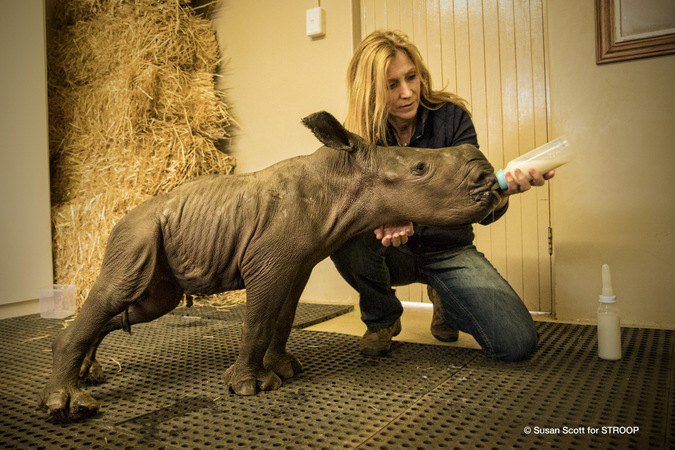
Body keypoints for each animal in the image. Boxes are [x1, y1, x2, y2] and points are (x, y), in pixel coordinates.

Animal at [38, 110, 502, 422]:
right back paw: (68, 405)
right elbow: (258, 321)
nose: (488, 180)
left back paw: (90, 374)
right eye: (421, 168)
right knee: (119, 291)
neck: (341, 181)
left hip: (154, 240)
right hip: (136, 230)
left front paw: (283, 370)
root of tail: (120, 217)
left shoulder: (296, 264)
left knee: (145, 305)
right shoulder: (270, 263)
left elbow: (282, 317)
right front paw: (247, 387)